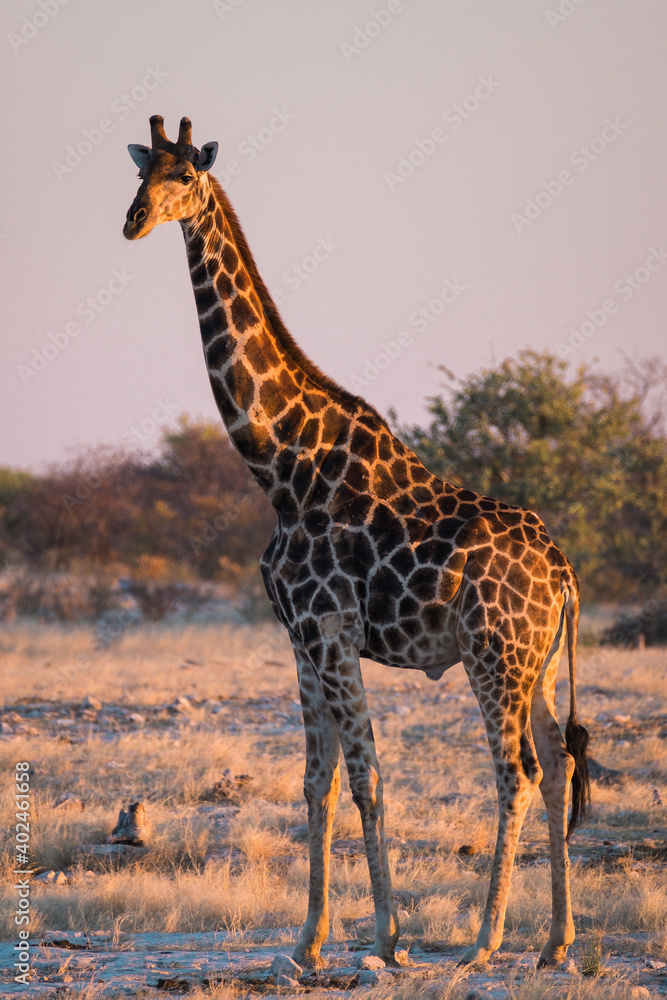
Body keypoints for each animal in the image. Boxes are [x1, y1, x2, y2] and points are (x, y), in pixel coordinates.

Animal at [123, 116, 591, 969]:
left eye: (185, 177)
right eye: (142, 175)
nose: (133, 221)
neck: (278, 467)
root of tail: (564, 573)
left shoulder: (330, 629)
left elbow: (368, 776)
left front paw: (388, 938)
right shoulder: (300, 638)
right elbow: (319, 781)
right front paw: (308, 942)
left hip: (493, 653)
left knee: (514, 770)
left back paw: (483, 942)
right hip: (536, 662)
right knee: (557, 760)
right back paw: (553, 943)